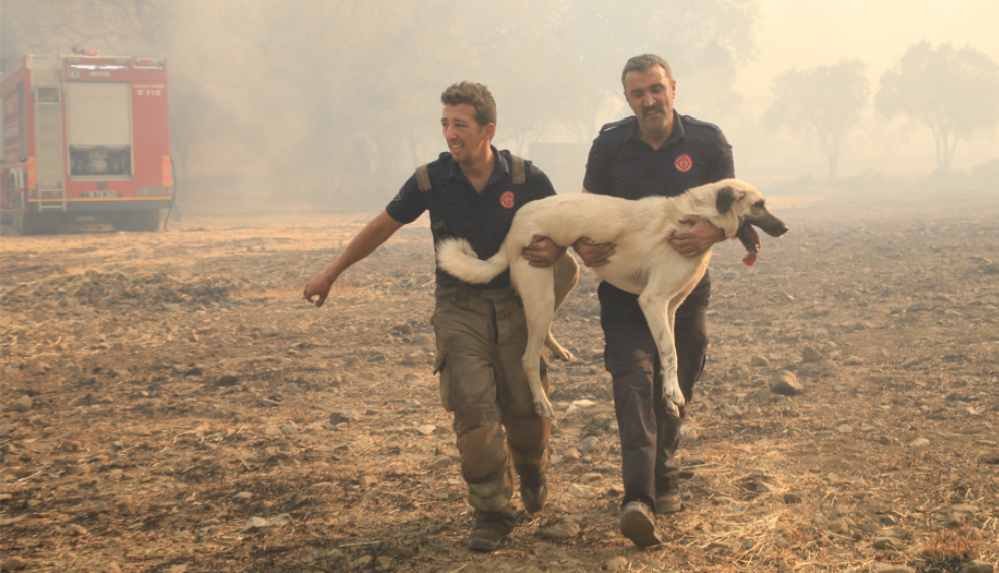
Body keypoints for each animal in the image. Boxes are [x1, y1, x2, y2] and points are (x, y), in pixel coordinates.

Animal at [438, 180, 788, 420]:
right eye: (759, 205)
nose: (785, 228)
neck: (696, 215)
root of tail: (515, 225)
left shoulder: (670, 308)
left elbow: (669, 354)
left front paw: (668, 395)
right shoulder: (652, 301)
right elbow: (670, 352)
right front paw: (673, 394)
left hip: (563, 276)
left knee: (543, 328)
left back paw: (558, 350)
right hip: (540, 292)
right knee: (527, 358)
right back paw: (542, 404)